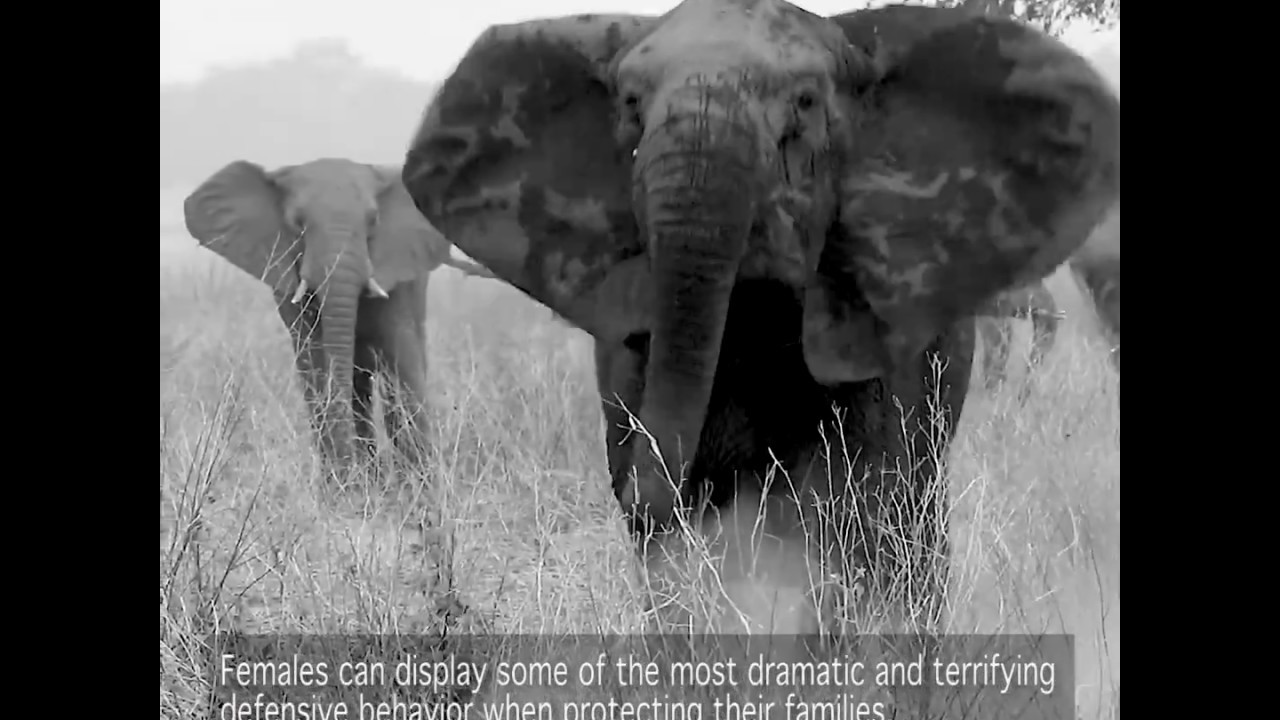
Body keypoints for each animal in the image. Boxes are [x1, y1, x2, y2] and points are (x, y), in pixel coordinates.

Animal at [183, 157, 495, 470]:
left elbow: (400, 365)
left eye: (373, 220)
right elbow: (317, 369)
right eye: (298, 224)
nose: (353, 468)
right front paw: (347, 479)